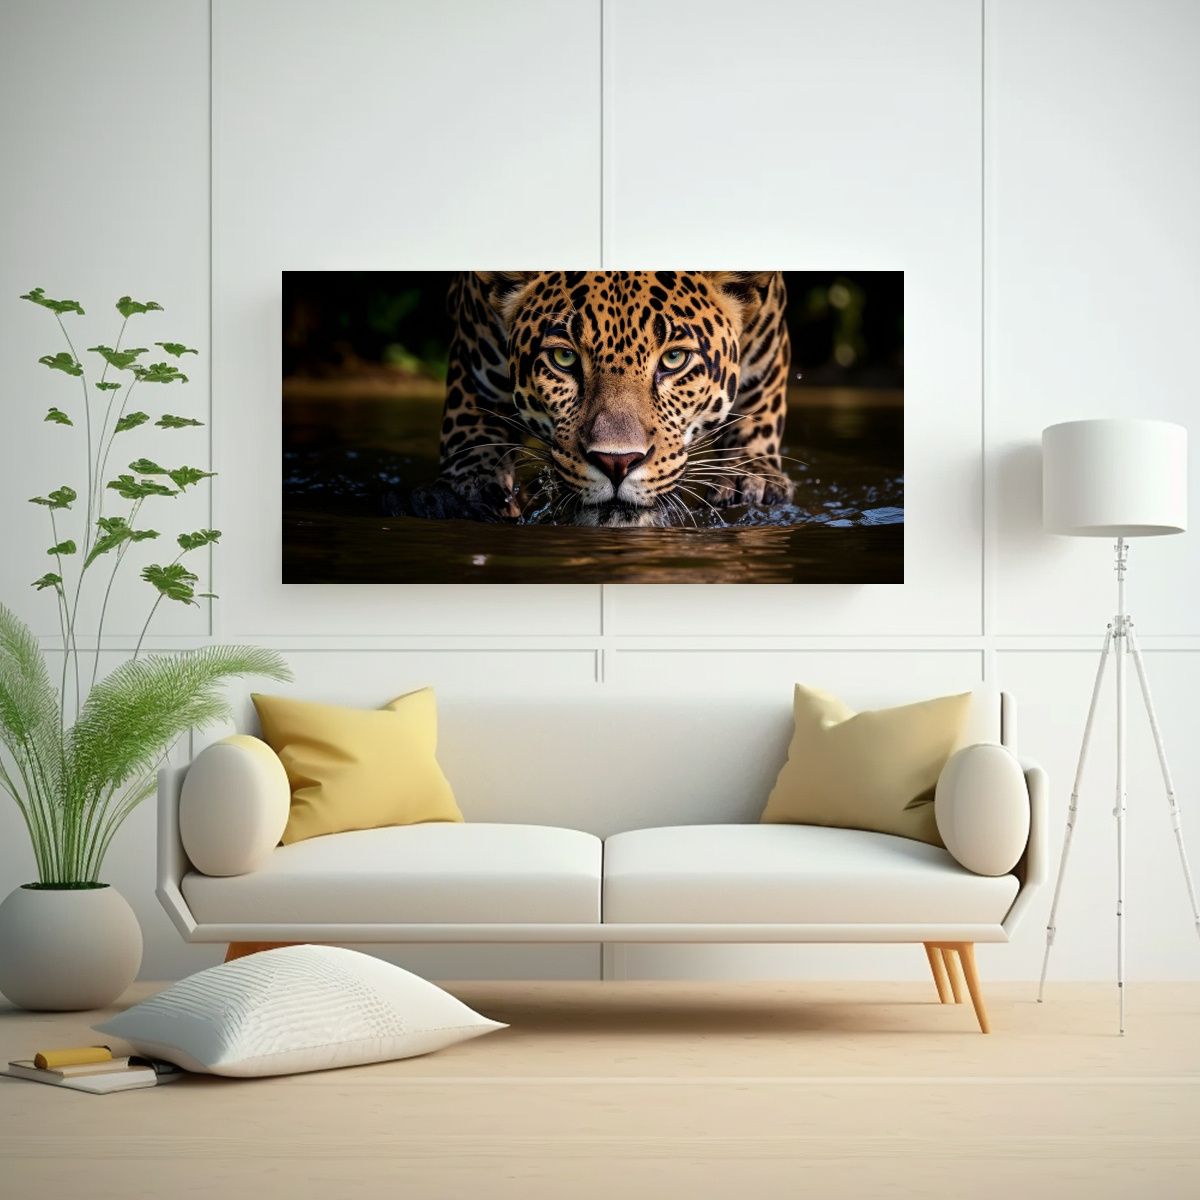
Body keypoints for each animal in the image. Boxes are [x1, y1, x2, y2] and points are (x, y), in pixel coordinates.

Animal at [437, 270, 793, 526]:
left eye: (674, 358)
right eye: (564, 358)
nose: (617, 463)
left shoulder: (768, 348)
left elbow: (758, 414)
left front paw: (750, 478)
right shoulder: (473, 364)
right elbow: (471, 432)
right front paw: (477, 483)